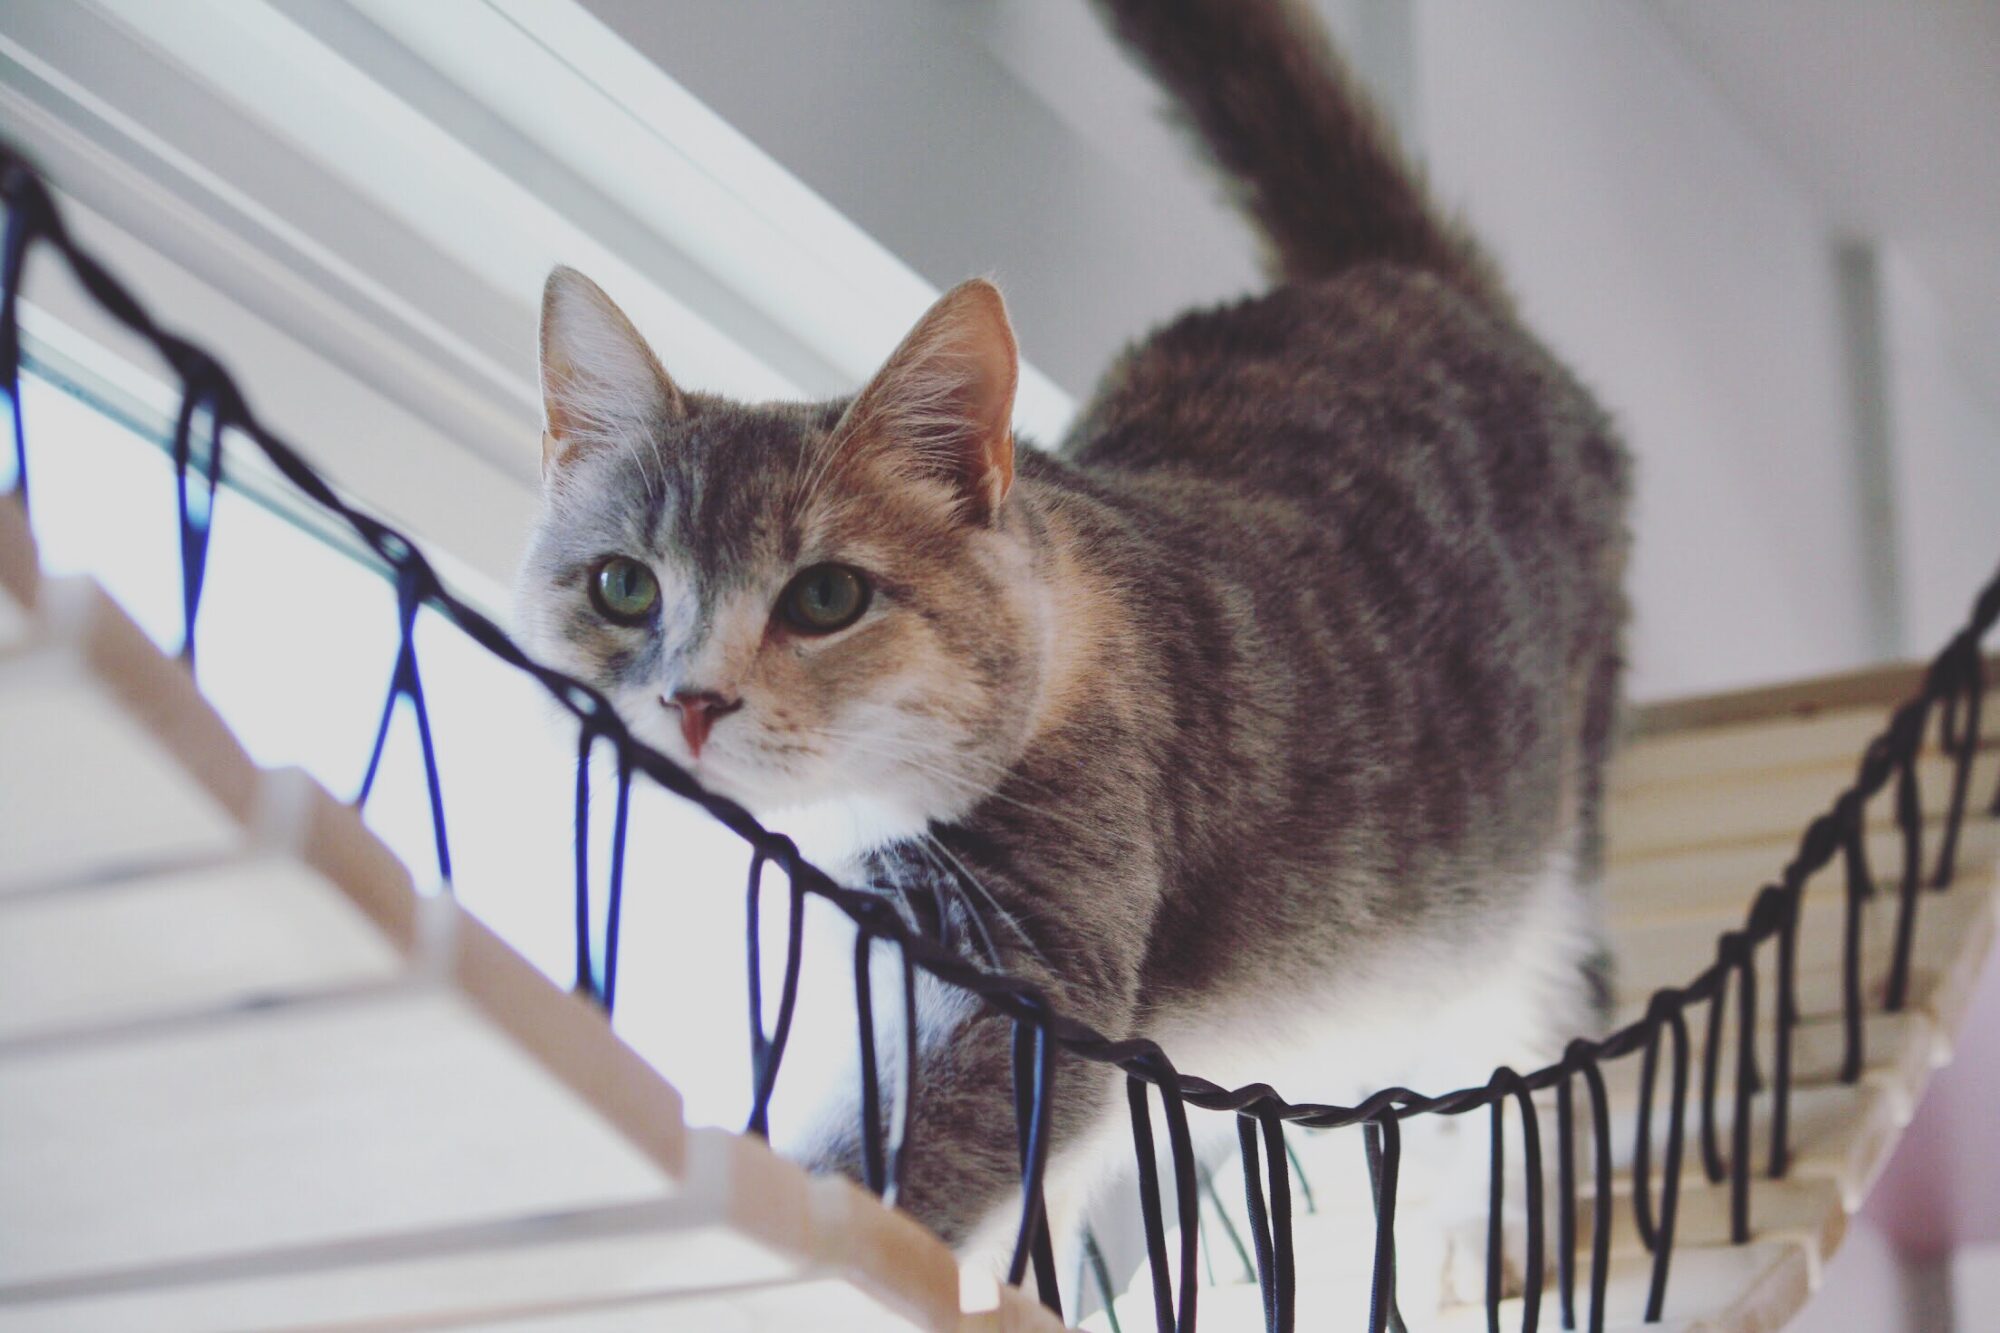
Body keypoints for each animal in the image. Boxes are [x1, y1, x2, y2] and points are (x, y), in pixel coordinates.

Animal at [512, 0, 1624, 1288]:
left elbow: (891, 1175)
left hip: (1542, 860)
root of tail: (1406, 286)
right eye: (624, 586)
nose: (693, 700)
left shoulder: (1031, 972)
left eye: (827, 595)